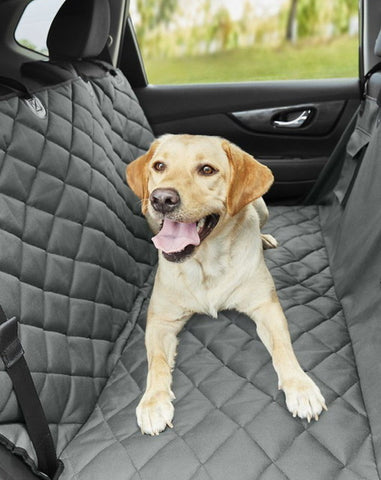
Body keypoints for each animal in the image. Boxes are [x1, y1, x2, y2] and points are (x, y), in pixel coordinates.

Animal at [126, 134, 326, 436]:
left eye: (207, 170)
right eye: (159, 166)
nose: (161, 198)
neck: (206, 263)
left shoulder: (266, 307)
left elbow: (283, 349)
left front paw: (300, 386)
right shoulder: (160, 320)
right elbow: (156, 361)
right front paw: (152, 402)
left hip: (261, 208)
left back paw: (264, 238)